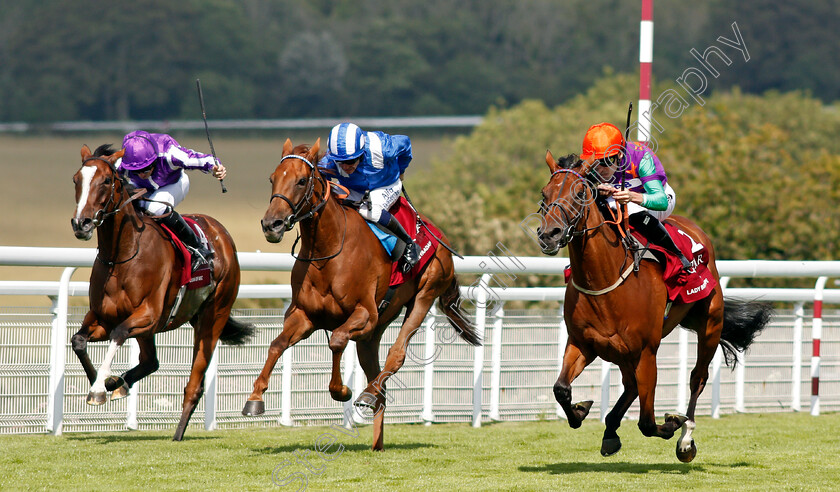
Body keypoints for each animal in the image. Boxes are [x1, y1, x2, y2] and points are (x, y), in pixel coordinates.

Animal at [71, 144, 253, 440]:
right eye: (76, 179)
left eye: (107, 181)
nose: (82, 223)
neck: (122, 256)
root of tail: (221, 233)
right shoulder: (103, 317)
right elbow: (78, 341)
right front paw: (104, 382)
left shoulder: (149, 315)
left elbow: (119, 333)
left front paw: (99, 388)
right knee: (150, 362)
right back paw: (119, 383)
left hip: (213, 318)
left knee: (194, 382)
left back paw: (178, 432)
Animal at [243, 137, 480, 450]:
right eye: (272, 179)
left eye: (301, 180)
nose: (272, 224)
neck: (327, 251)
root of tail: (438, 235)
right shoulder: (304, 316)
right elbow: (276, 344)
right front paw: (255, 399)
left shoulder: (365, 313)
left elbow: (336, 341)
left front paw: (341, 390)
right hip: (373, 333)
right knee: (377, 379)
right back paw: (376, 435)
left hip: (424, 295)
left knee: (397, 354)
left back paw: (367, 393)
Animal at [536, 152, 772, 464]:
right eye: (544, 194)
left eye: (579, 193)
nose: (549, 234)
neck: (605, 279)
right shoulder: (582, 343)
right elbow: (561, 389)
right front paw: (582, 409)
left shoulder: (647, 352)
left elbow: (647, 422)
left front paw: (673, 424)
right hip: (623, 352)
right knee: (630, 386)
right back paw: (611, 430)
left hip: (710, 323)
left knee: (697, 378)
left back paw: (686, 438)